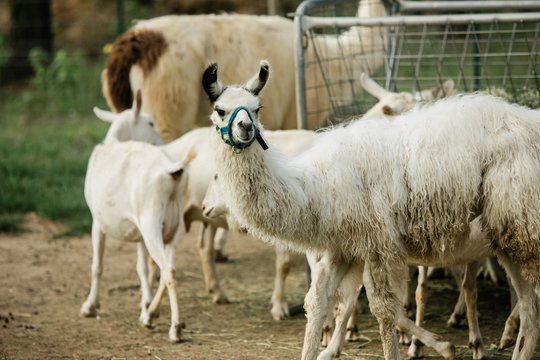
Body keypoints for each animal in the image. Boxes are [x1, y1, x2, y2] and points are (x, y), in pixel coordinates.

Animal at [81, 91, 195, 342]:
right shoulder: (138, 233)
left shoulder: (98, 222)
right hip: (171, 226)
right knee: (168, 266)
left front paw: (89, 306)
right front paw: (145, 304)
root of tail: (170, 170)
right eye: (150, 123)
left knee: (168, 270)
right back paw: (151, 315)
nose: (161, 142)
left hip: (152, 222)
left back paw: (175, 328)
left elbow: (97, 266)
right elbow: (143, 268)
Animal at [201, 61, 540, 360]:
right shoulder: (343, 248)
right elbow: (318, 302)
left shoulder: (376, 243)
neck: (316, 186)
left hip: (524, 229)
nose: (245, 127)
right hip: (508, 237)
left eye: (257, 108)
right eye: (220, 111)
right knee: (529, 309)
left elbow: (382, 310)